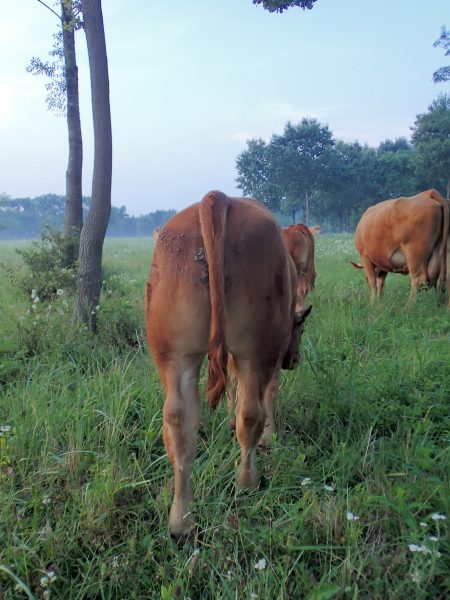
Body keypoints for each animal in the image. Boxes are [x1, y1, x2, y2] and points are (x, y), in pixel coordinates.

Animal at [146, 190, 312, 536]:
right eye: (301, 329)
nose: (294, 360)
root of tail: (216, 198)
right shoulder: (271, 353)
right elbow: (266, 396)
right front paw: (270, 437)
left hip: (174, 355)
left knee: (178, 424)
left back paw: (180, 519)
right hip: (257, 349)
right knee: (250, 414)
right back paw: (247, 483)